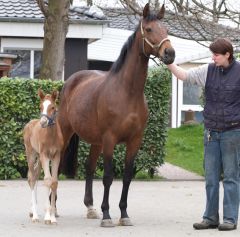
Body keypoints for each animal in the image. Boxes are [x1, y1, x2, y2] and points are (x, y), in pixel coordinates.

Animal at [22, 89, 62, 224]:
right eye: (40, 107)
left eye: (53, 107)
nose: (43, 122)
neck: (52, 136)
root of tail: (29, 123)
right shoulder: (45, 155)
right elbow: (47, 180)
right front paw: (47, 217)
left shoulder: (56, 156)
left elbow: (54, 182)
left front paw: (53, 217)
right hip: (31, 153)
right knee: (31, 178)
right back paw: (34, 215)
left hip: (39, 158)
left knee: (35, 175)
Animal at [58, 3, 174, 226]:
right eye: (149, 29)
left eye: (166, 29)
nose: (170, 53)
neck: (127, 92)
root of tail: (71, 81)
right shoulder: (110, 139)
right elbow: (108, 177)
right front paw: (107, 215)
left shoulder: (134, 140)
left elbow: (127, 177)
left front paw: (124, 214)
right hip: (66, 133)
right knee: (55, 164)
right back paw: (52, 208)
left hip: (95, 142)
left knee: (89, 167)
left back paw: (90, 208)